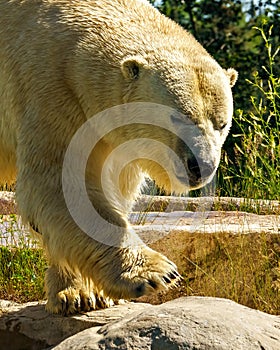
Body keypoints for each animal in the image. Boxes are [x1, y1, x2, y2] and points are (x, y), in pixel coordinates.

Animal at [0, 0, 237, 314]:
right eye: (176, 117)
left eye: (221, 123)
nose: (202, 167)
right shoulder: (48, 88)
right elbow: (61, 185)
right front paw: (155, 273)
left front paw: (86, 294)